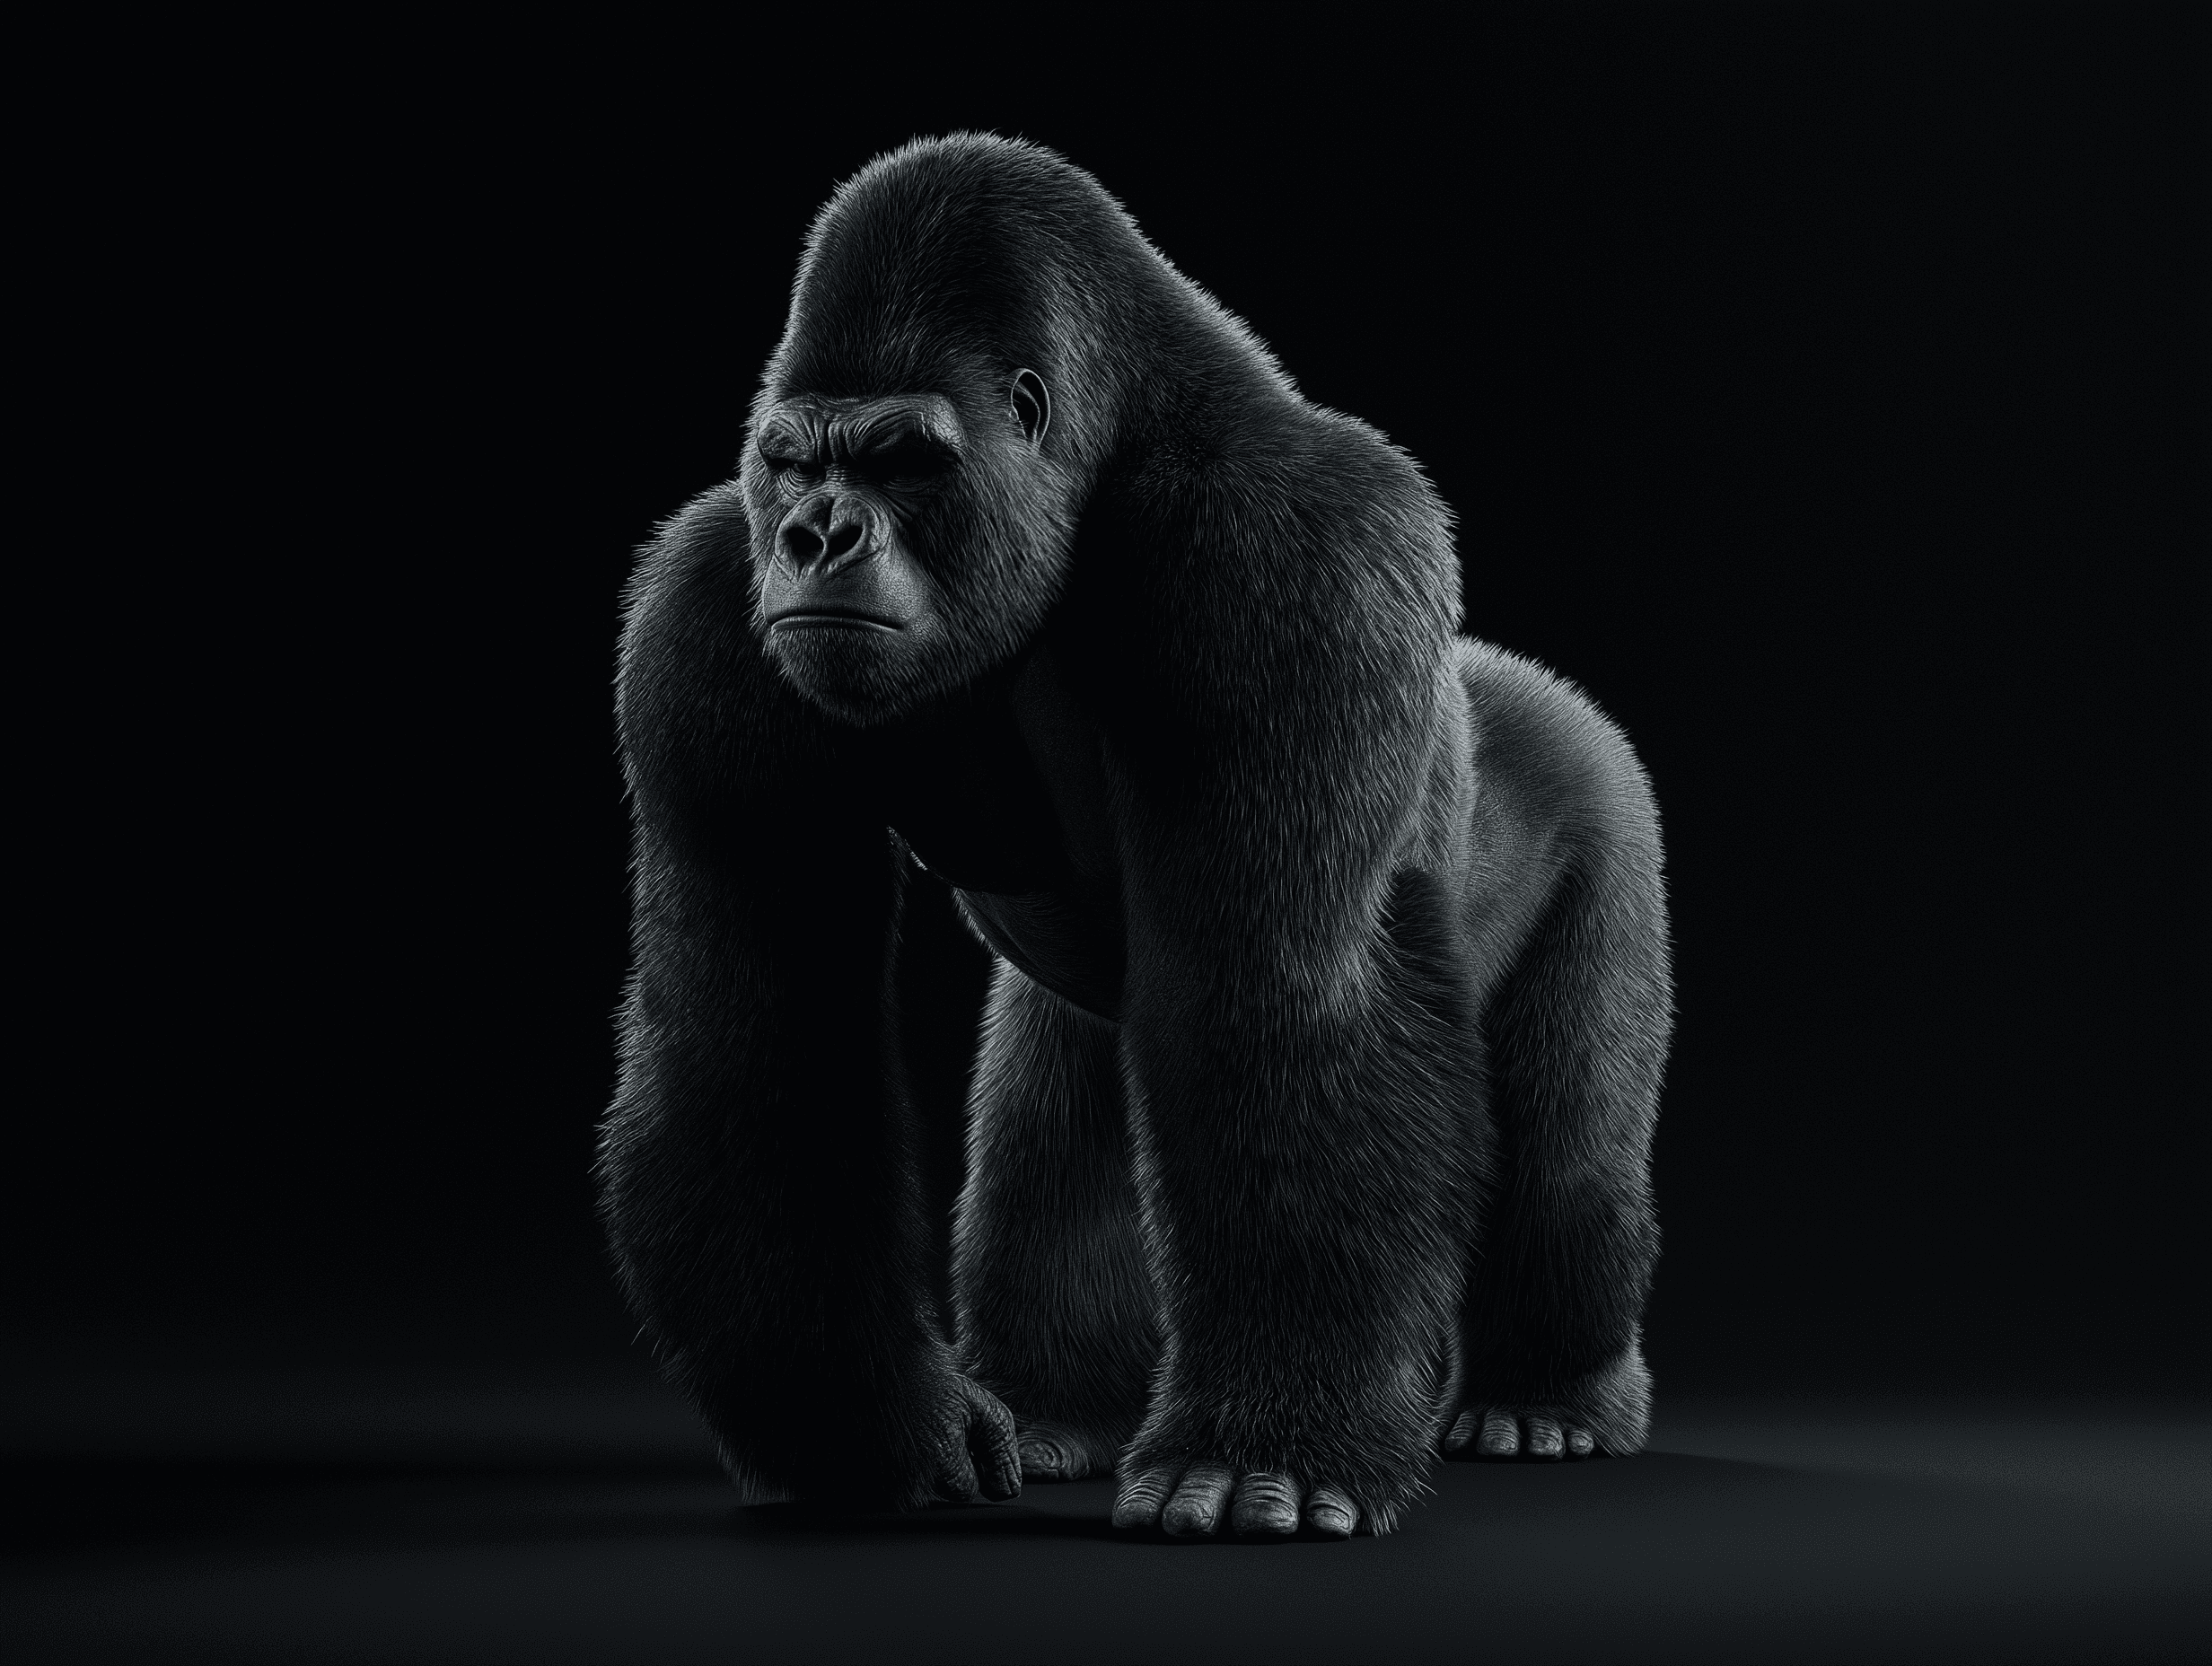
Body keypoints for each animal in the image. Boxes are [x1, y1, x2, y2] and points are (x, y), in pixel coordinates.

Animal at [599, 132, 1670, 1539]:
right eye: (794, 460)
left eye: (901, 458)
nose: (817, 532)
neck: (1105, 458)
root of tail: (1522, 680)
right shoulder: (706, 615)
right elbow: (760, 1034)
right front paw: (870, 1432)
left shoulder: (1292, 556)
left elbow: (1279, 1004)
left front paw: (1272, 1442)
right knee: (1057, 1140)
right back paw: (1059, 1408)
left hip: (1607, 806)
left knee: (1566, 1155)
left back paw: (1553, 1389)